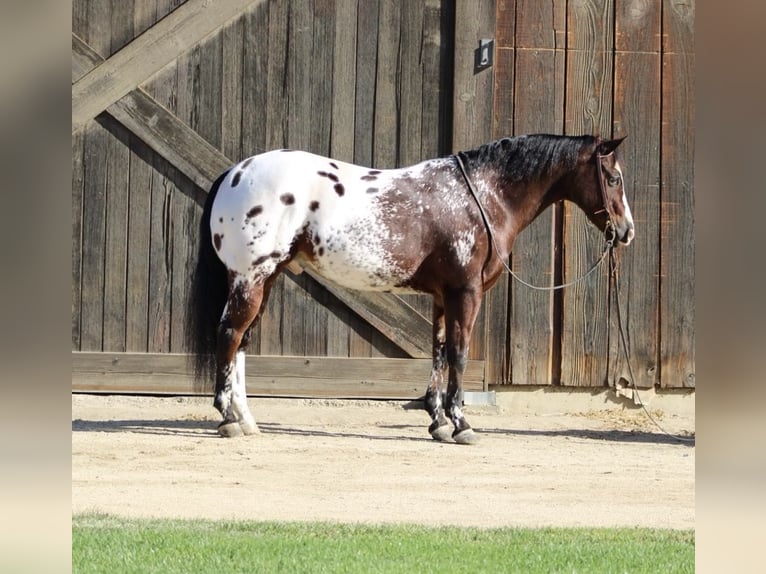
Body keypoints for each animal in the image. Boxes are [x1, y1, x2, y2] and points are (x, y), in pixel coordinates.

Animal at [185, 134, 634, 444]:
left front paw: (438, 422)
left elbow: (438, 353)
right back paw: (227, 418)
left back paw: (247, 419)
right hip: (250, 278)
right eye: (613, 177)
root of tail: (236, 172)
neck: (482, 197)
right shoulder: (465, 293)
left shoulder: (442, 297)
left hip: (265, 278)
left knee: (242, 341)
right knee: (229, 335)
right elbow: (459, 354)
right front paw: (461, 423)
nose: (627, 231)